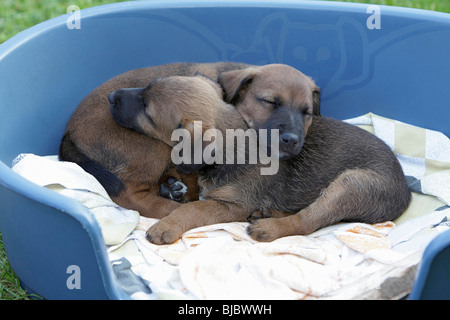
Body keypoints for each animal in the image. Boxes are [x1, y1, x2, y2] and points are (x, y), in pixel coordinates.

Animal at [110, 71, 412, 244]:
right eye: (146, 86)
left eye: (148, 111)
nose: (111, 95)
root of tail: (406, 191)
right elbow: (193, 188)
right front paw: (175, 185)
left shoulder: (233, 206)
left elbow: (193, 208)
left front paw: (168, 224)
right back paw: (267, 212)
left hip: (350, 185)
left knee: (308, 221)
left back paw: (269, 227)